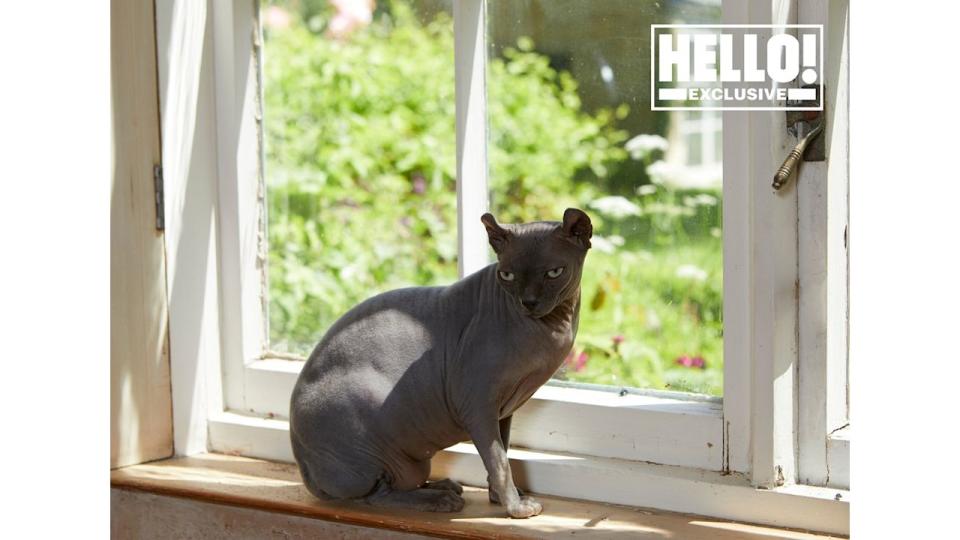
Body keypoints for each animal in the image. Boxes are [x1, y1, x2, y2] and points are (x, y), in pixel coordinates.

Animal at [290, 208, 592, 520]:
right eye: (507, 275)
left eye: (554, 272)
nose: (528, 302)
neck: (554, 325)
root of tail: (304, 468)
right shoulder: (476, 404)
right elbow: (499, 461)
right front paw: (516, 507)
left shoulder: (504, 410)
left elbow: (503, 451)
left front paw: (499, 498)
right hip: (365, 421)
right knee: (374, 495)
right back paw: (439, 500)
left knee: (398, 483)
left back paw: (442, 486)